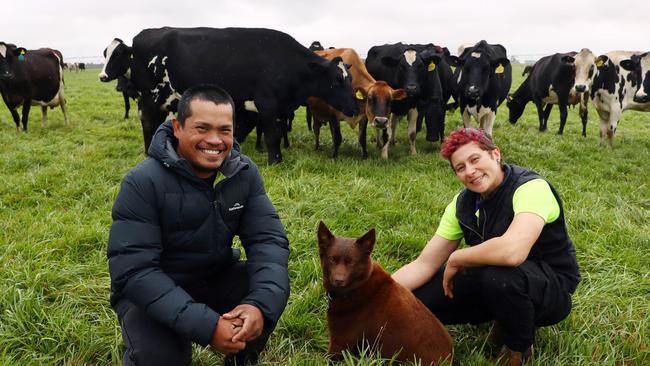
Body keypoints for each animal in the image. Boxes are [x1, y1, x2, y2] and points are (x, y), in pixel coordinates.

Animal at [97, 29, 354, 164]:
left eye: (349, 79)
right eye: (336, 80)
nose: (354, 108)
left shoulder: (270, 110)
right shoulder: (267, 106)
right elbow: (272, 136)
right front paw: (275, 161)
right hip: (152, 100)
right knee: (148, 126)